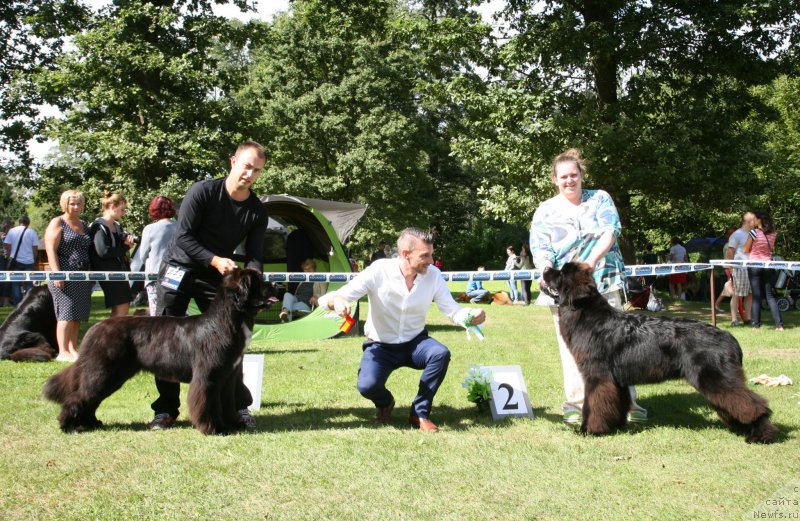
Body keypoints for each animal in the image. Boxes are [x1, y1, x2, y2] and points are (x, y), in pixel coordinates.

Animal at [43, 268, 268, 434]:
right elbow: (207, 404)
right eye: (258, 281)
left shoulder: (227, 376)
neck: (224, 322)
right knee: (80, 396)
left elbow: (228, 403)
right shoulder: (208, 377)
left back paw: (91, 423)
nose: (274, 285)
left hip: (113, 375)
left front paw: (233, 424)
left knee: (92, 398)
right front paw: (214, 428)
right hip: (102, 371)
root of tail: (96, 327)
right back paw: (67, 425)